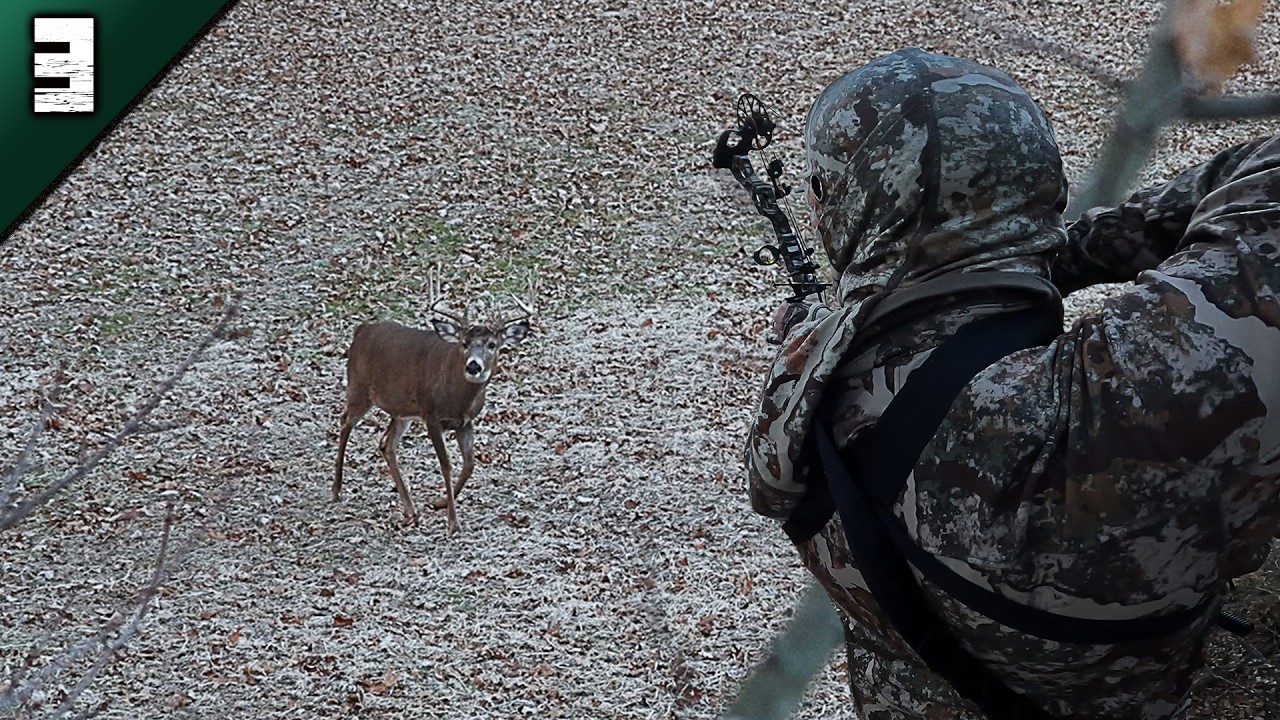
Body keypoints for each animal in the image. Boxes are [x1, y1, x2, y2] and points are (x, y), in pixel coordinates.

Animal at [332, 283, 533, 535]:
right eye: (464, 343)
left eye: (492, 344)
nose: (474, 366)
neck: (457, 397)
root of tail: (361, 330)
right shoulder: (431, 416)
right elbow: (446, 464)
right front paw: (453, 522)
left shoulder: (465, 421)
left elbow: (469, 464)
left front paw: (440, 502)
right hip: (358, 388)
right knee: (345, 421)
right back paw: (336, 490)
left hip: (402, 410)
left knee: (386, 444)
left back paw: (411, 510)